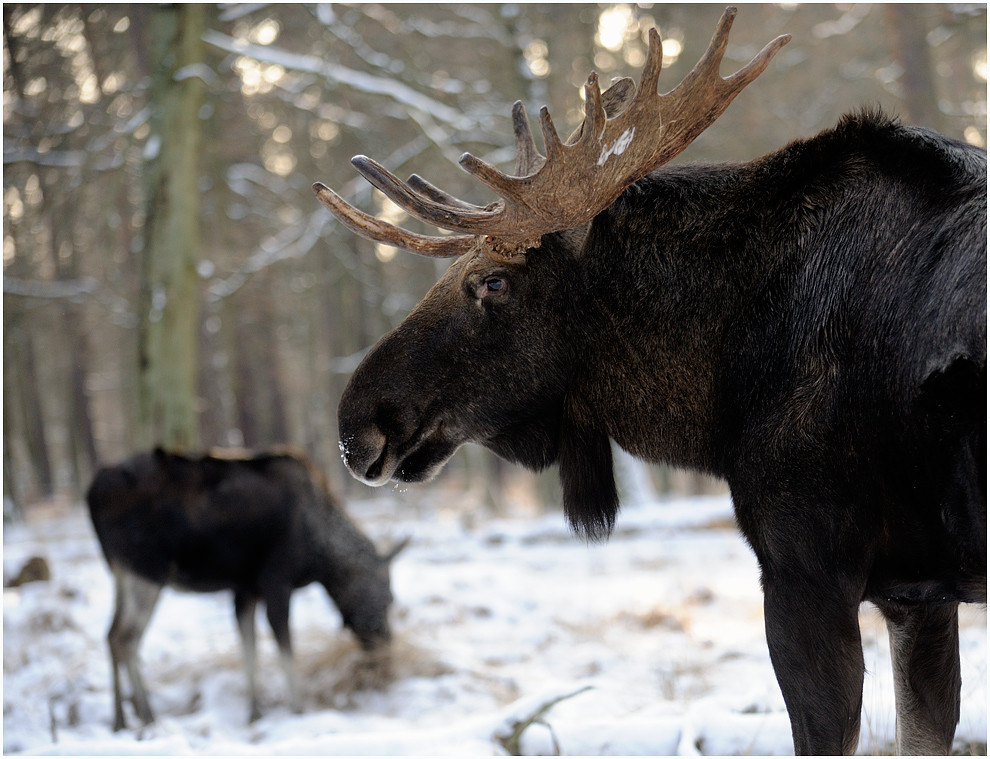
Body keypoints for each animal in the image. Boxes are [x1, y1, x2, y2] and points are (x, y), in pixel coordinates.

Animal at [88, 452, 406, 732]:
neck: (320, 559)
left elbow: (249, 650)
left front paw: (255, 713)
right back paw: (145, 715)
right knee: (126, 638)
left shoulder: (246, 590)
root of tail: (90, 493)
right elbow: (285, 651)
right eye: (388, 598)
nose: (385, 645)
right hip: (146, 571)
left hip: (121, 573)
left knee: (112, 635)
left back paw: (121, 719)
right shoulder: (276, 581)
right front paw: (297, 709)